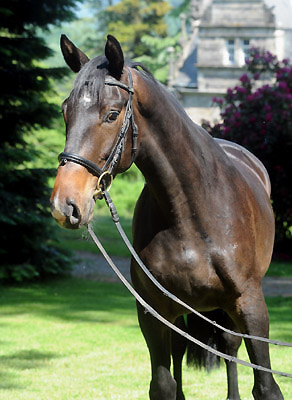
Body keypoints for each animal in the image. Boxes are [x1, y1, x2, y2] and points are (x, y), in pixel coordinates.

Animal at [50, 34, 282, 400]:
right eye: (65, 111)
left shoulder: (251, 305)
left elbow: (266, 385)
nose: (66, 204)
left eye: (111, 114)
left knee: (229, 348)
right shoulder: (153, 309)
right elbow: (163, 383)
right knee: (179, 351)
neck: (192, 212)